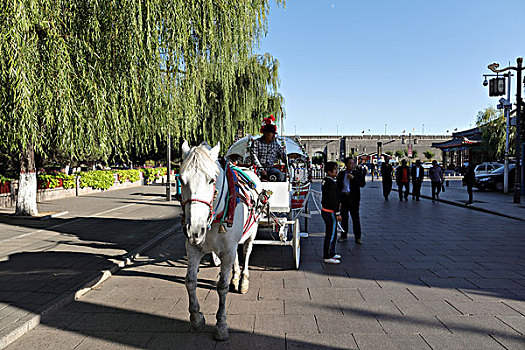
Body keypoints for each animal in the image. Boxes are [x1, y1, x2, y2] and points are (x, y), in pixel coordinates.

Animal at [181, 141, 270, 340]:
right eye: (181, 180)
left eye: (211, 180)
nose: (194, 230)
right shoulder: (193, 248)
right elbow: (190, 281)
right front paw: (196, 317)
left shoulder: (227, 250)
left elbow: (222, 286)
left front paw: (221, 325)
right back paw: (235, 277)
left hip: (252, 231)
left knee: (246, 252)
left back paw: (243, 280)